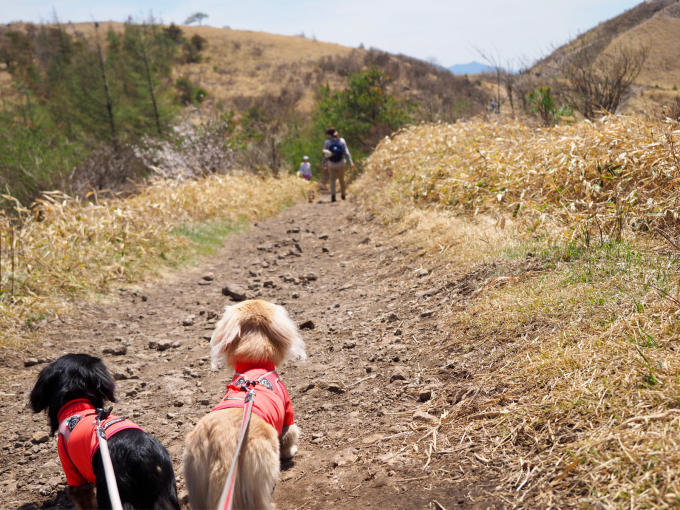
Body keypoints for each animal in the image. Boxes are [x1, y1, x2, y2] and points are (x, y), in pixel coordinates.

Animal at [183, 300, 306, 510]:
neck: (253, 366)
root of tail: (221, 446)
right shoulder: (287, 413)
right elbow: (289, 435)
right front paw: (291, 451)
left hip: (196, 479)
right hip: (260, 472)